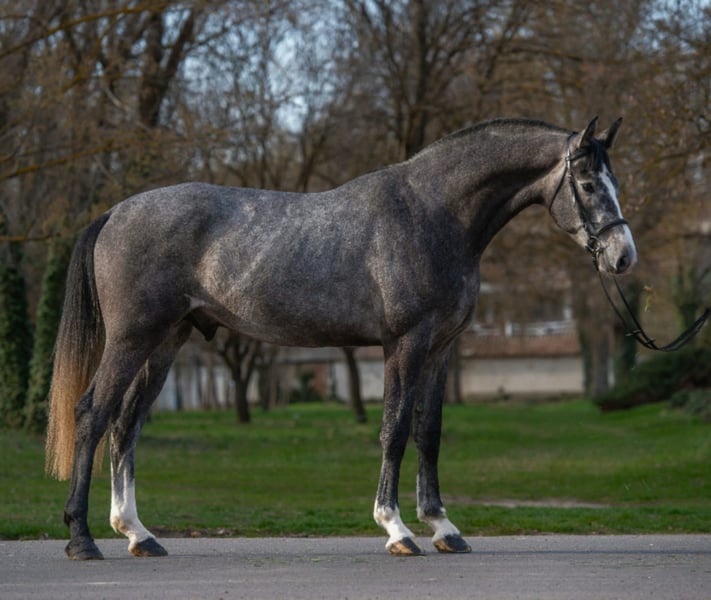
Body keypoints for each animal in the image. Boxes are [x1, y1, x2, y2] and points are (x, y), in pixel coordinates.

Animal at [46, 117, 637, 560]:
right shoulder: (405, 344)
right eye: (588, 185)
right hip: (131, 339)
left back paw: (138, 534)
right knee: (93, 414)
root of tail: (115, 212)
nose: (622, 256)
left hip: (167, 340)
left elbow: (429, 433)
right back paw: (82, 539)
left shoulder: (441, 349)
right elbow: (394, 430)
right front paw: (396, 530)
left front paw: (444, 527)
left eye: (614, 183)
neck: (433, 213)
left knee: (126, 425)